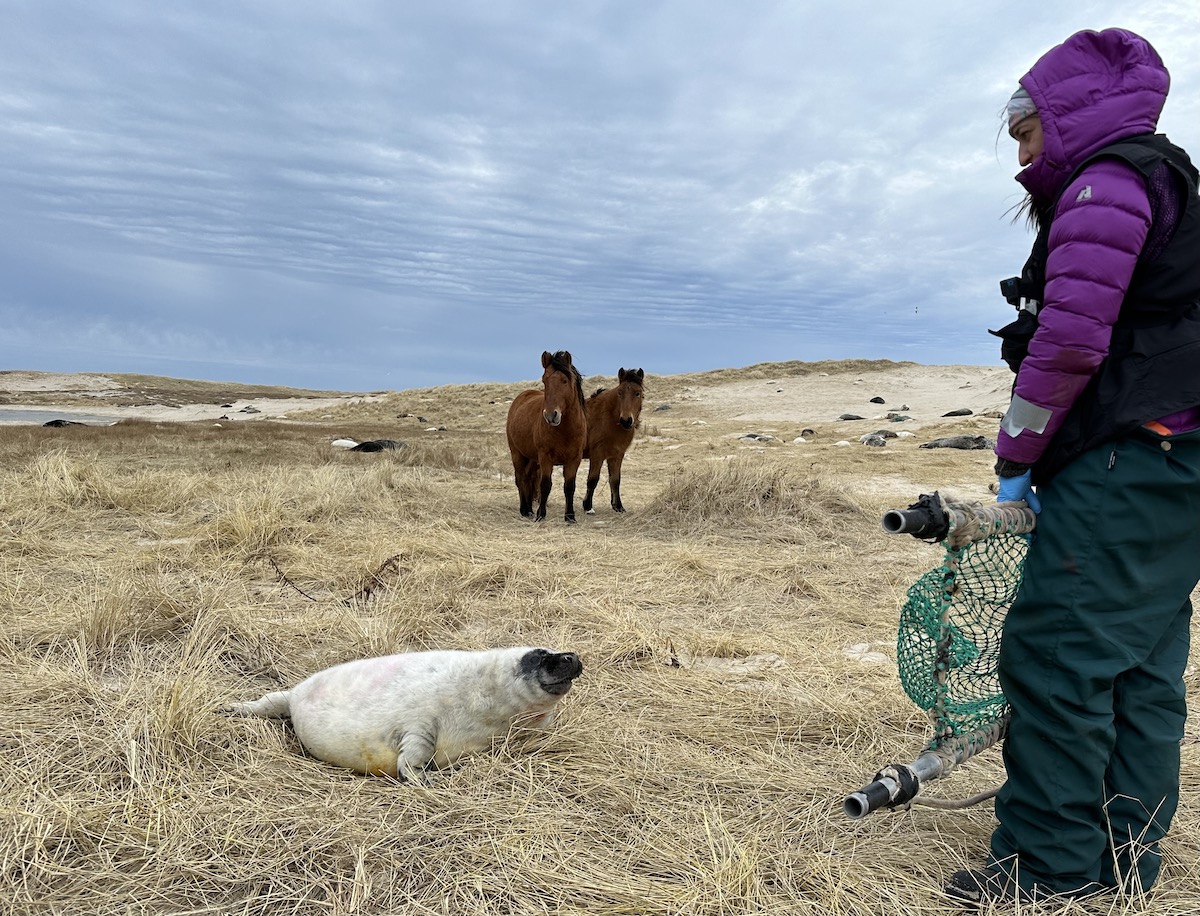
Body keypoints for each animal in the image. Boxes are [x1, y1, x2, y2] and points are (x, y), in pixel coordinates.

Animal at [505, 350, 588, 522]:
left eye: (564, 380)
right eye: (544, 380)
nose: (551, 415)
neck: (565, 431)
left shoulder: (574, 459)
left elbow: (569, 487)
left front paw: (570, 517)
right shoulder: (545, 457)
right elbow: (545, 485)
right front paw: (540, 515)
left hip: (532, 459)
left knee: (528, 478)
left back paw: (529, 509)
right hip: (517, 454)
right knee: (520, 479)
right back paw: (525, 510)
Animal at [582, 367, 644, 514]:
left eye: (637, 393)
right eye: (620, 392)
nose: (626, 420)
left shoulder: (617, 455)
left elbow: (615, 480)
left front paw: (618, 506)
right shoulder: (597, 454)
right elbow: (593, 479)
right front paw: (588, 506)